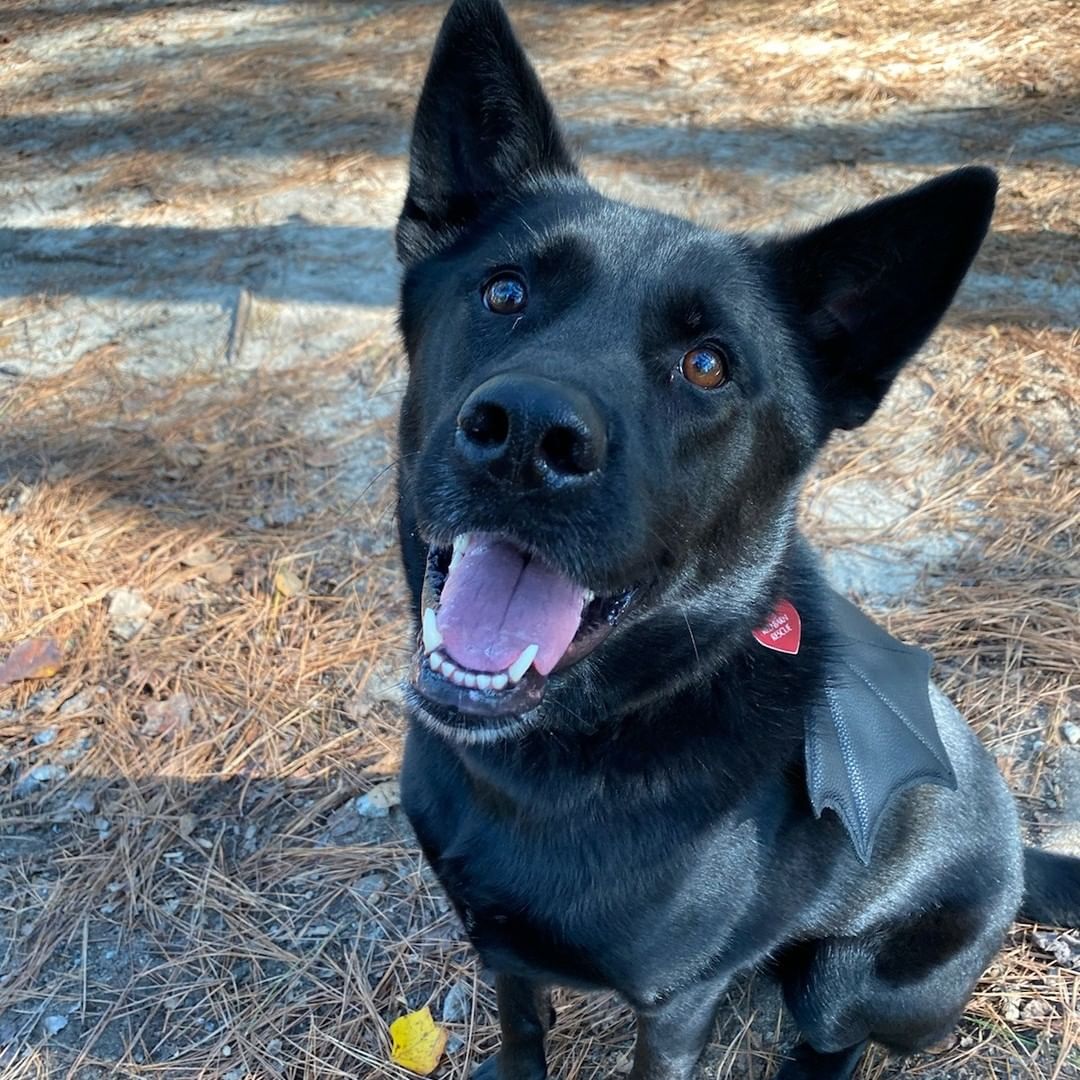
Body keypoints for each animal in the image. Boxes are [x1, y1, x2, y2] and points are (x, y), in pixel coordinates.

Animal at [393, 4, 1075, 1075]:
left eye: (708, 364)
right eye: (503, 293)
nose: (528, 436)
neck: (552, 761)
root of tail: (1020, 856)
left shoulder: (676, 1005)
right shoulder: (498, 943)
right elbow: (520, 1014)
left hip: (850, 975)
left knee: (834, 1040)